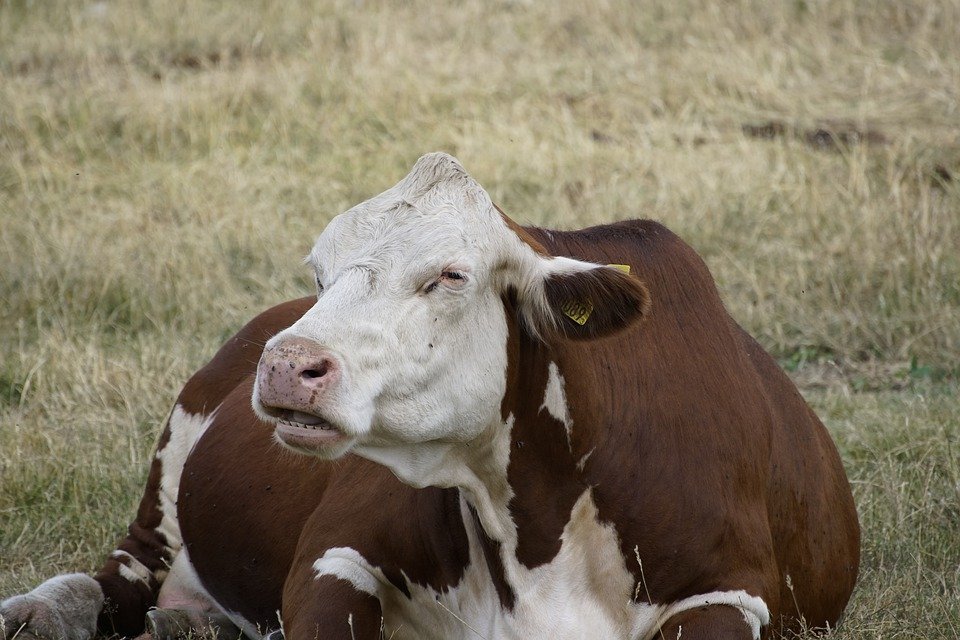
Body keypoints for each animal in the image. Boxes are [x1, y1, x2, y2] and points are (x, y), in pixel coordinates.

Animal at [1, 153, 859, 640]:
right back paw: (39, 611)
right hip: (171, 470)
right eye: (322, 272)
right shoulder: (331, 553)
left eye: (450, 274)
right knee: (120, 573)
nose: (288, 365)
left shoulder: (733, 588)